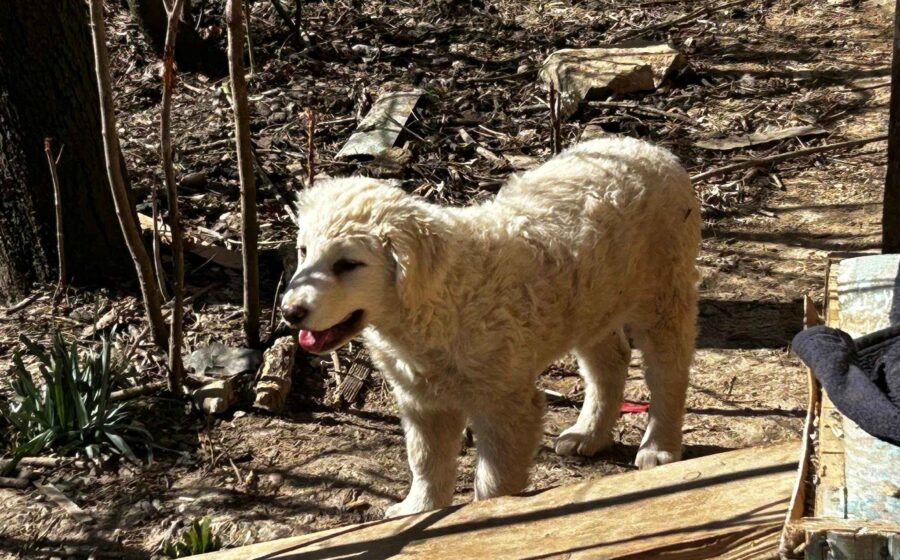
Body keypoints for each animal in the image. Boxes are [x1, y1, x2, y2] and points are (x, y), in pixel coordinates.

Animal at [281, 137, 700, 518]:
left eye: (347, 265)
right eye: (303, 251)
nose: (289, 312)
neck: (433, 301)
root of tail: (652, 149)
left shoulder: (504, 403)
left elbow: (495, 481)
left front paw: (485, 519)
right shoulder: (422, 398)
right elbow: (426, 461)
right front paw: (418, 510)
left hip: (664, 290)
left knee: (668, 371)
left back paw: (660, 447)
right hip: (593, 302)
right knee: (608, 362)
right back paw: (588, 434)